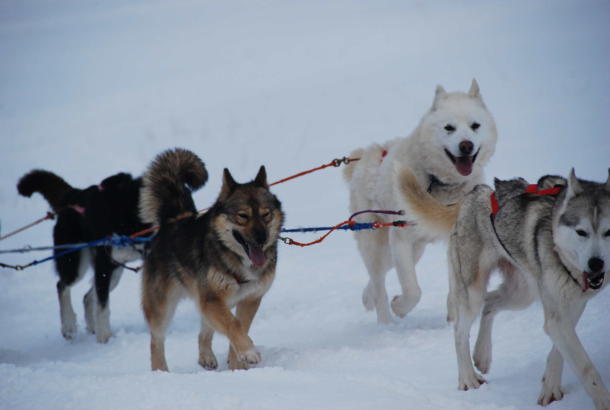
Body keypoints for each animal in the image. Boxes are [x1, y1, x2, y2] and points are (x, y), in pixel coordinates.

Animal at [17, 168, 150, 342]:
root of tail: (75, 194)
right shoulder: (104, 263)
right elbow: (103, 307)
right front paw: (105, 338)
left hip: (114, 271)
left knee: (87, 297)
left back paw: (92, 328)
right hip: (76, 263)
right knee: (62, 285)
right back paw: (69, 326)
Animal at [138, 148, 282, 372]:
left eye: (266, 214)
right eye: (243, 216)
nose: (262, 238)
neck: (238, 260)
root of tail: (172, 220)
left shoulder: (249, 299)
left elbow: (239, 327)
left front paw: (238, 366)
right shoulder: (213, 298)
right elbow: (234, 325)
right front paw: (248, 352)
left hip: (204, 298)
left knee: (204, 331)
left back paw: (206, 357)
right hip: (163, 305)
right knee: (156, 340)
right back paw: (160, 372)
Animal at [400, 167, 608, 410]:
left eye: (608, 232)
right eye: (581, 232)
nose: (596, 264)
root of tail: (475, 194)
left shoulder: (572, 308)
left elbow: (560, 353)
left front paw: (551, 386)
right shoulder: (558, 316)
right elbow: (586, 368)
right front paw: (603, 400)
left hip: (522, 294)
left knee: (490, 303)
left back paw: (482, 355)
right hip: (473, 292)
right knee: (460, 331)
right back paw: (468, 378)